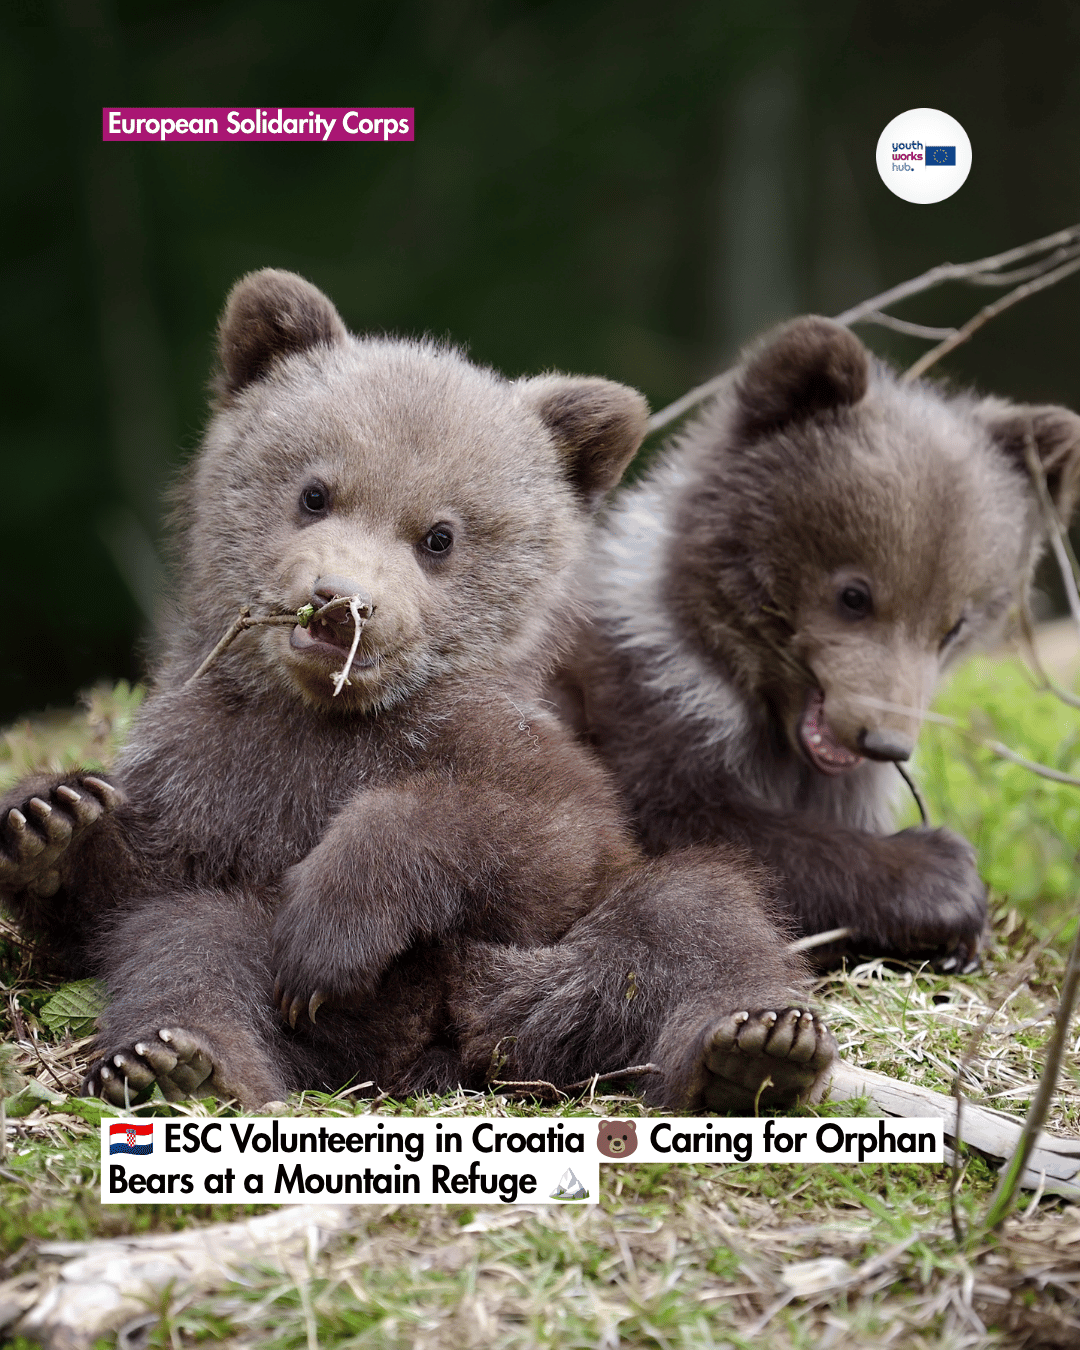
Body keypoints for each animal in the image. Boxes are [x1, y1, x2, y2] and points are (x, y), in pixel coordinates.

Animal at [0, 270, 836, 1113]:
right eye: (314, 493)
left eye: (440, 536)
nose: (340, 604)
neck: (329, 711)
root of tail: (436, 1058)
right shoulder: (206, 766)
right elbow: (134, 891)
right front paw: (52, 818)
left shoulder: (521, 756)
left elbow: (527, 838)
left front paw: (331, 927)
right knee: (189, 943)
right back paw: (183, 1063)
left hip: (540, 969)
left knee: (694, 909)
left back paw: (754, 1049)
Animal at [559, 316, 1080, 968]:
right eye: (855, 594)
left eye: (955, 624)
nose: (884, 740)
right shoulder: (638, 706)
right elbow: (696, 829)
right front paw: (941, 874)